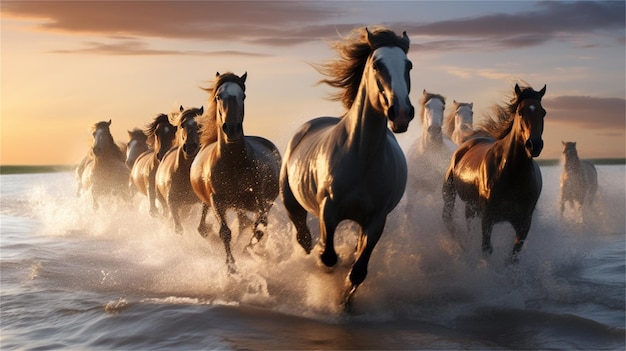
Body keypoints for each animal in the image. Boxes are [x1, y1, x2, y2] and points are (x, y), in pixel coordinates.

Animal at [188, 72, 280, 276]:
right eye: (218, 96)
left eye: (242, 96)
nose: (231, 129)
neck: (233, 162)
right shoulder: (217, 201)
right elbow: (225, 232)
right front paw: (231, 267)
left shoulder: (259, 198)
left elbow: (259, 228)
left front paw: (245, 252)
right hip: (213, 202)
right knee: (208, 224)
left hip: (256, 203)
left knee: (246, 223)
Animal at [280, 26, 412, 310]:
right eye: (377, 65)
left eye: (408, 65)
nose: (401, 113)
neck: (361, 157)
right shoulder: (328, 211)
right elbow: (328, 257)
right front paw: (327, 278)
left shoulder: (376, 220)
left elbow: (358, 271)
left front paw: (344, 302)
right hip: (293, 205)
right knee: (304, 239)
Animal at [442, 84, 544, 262]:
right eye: (520, 112)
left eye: (543, 112)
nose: (534, 145)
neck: (513, 174)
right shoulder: (488, 219)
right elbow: (487, 249)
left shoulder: (523, 224)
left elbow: (513, 258)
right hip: (452, 195)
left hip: (471, 208)